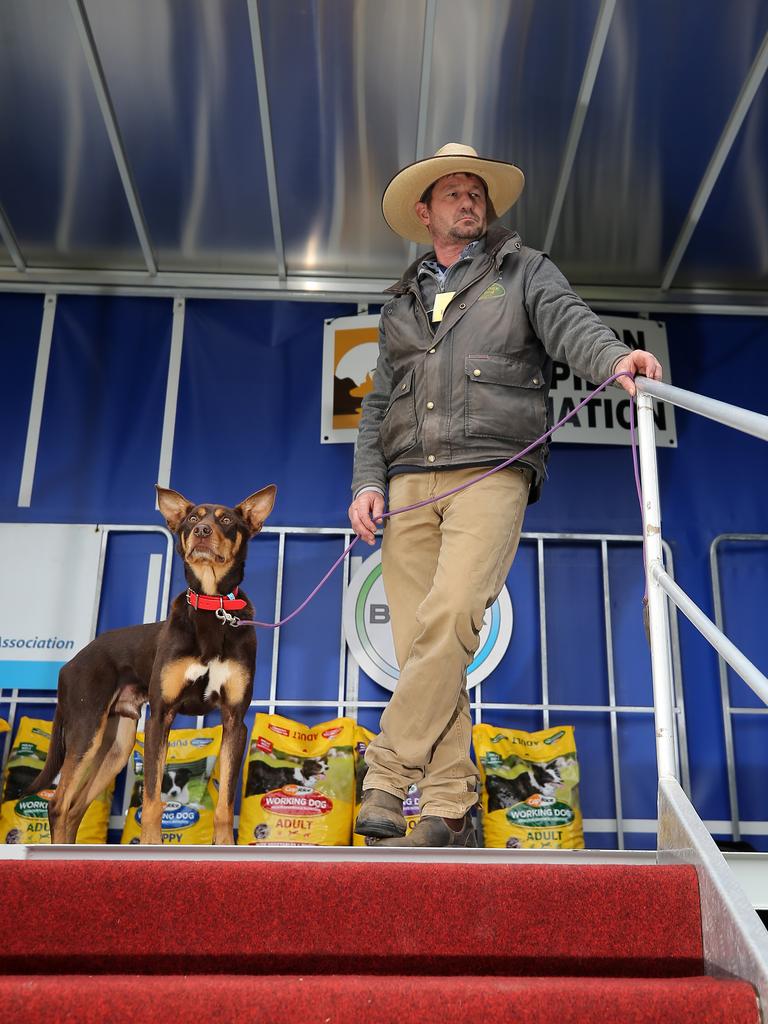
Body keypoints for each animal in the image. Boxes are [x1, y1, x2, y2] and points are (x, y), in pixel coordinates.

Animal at [31, 483, 276, 843]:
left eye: (227, 520)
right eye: (192, 519)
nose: (202, 532)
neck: (211, 605)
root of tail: (72, 662)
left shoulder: (234, 720)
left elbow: (224, 806)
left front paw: (225, 845)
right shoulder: (161, 716)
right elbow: (151, 802)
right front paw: (150, 843)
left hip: (115, 748)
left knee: (74, 808)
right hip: (86, 731)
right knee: (58, 804)